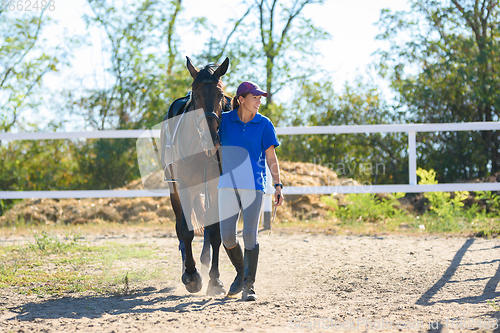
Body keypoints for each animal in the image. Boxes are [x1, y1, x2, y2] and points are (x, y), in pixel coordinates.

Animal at [160, 55, 230, 294]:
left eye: (221, 95)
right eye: (196, 95)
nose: (210, 135)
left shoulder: (216, 188)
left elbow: (215, 232)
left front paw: (215, 280)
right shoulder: (183, 188)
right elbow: (184, 230)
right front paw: (191, 276)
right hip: (175, 190)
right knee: (181, 228)